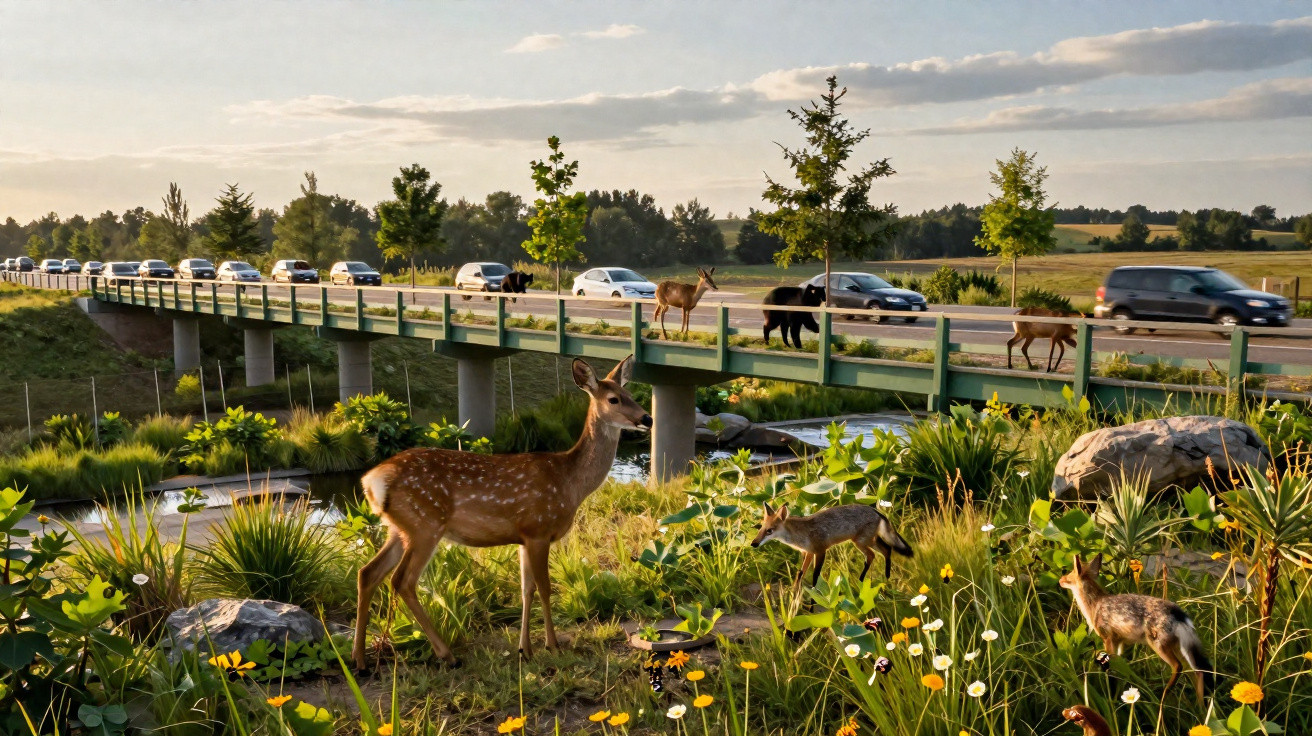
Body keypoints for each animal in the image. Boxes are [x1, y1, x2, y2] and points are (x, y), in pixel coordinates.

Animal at [351, 355, 651, 671]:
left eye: (631, 393)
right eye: (614, 399)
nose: (647, 419)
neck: (570, 482)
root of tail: (372, 480)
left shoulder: (524, 537)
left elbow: (526, 589)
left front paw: (525, 649)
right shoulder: (539, 528)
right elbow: (545, 588)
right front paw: (553, 645)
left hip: (400, 527)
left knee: (368, 572)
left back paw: (359, 658)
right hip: (425, 524)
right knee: (402, 580)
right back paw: (447, 654)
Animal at [751, 502, 913, 587]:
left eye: (769, 531)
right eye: (760, 528)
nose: (753, 543)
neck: (800, 534)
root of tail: (874, 509)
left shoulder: (820, 551)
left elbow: (815, 577)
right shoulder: (808, 553)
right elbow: (800, 574)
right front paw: (794, 594)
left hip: (861, 542)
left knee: (874, 555)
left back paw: (865, 581)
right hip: (869, 541)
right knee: (886, 550)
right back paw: (885, 578)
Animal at [1059, 554, 1214, 705]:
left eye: (1070, 576)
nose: (1060, 580)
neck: (1095, 605)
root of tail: (1177, 613)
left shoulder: (1107, 638)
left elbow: (1112, 668)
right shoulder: (1120, 641)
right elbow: (1120, 664)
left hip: (1159, 645)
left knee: (1179, 667)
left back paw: (1164, 698)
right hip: (1179, 647)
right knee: (1197, 672)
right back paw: (1200, 707)